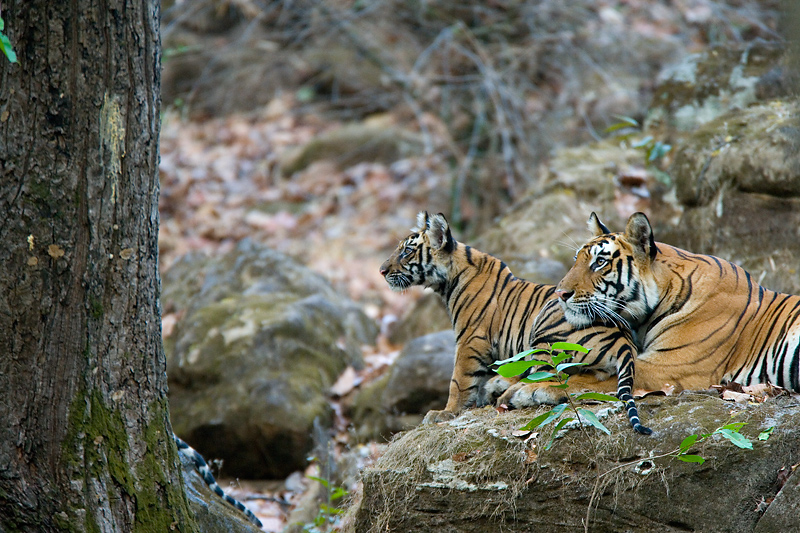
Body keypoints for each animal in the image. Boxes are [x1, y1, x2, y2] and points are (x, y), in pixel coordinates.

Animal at [380, 212, 648, 432]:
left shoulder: (470, 340)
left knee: (551, 376)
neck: (448, 280)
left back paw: (510, 394)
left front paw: (445, 413)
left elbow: (458, 380)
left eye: (406, 251)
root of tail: (624, 338)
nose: (382, 271)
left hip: (545, 331)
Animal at [556, 213, 800, 394]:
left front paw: (546, 385)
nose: (560, 293)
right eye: (576, 260)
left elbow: (594, 379)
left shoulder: (669, 366)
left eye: (600, 262)